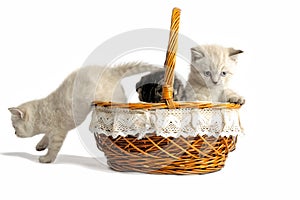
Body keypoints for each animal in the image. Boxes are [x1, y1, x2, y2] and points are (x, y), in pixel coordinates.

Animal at [8, 62, 158, 162]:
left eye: (14, 126)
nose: (14, 133)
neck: (42, 113)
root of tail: (111, 71)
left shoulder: (58, 132)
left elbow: (53, 148)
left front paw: (46, 159)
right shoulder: (51, 131)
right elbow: (45, 137)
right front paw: (41, 145)